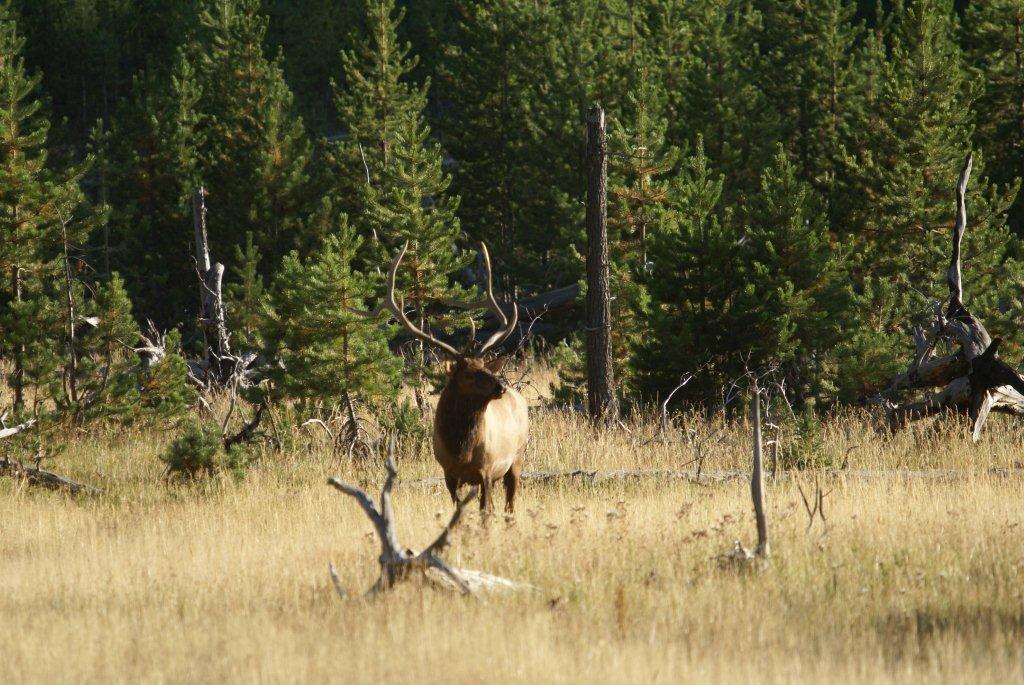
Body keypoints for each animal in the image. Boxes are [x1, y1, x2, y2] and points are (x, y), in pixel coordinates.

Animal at [362, 242, 528, 509]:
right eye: (468, 374)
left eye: (484, 366)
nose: (500, 386)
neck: (461, 452)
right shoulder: (449, 473)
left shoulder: (487, 470)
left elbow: (486, 510)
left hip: (517, 458)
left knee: (510, 503)